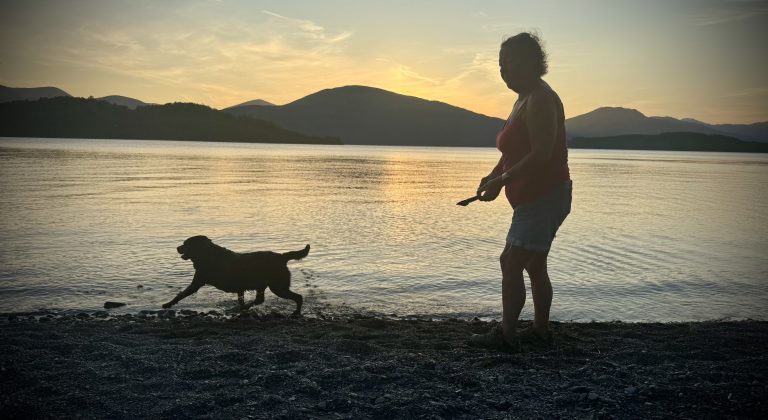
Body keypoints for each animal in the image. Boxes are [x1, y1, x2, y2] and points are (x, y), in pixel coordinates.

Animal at [162, 235, 309, 316]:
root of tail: (282, 257)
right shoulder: (239, 287)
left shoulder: (197, 282)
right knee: (259, 299)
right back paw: (245, 307)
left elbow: (182, 294)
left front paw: (167, 304)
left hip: (278, 286)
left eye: (186, 243)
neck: (207, 255)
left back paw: (296, 312)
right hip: (264, 285)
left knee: (298, 297)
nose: (177, 248)